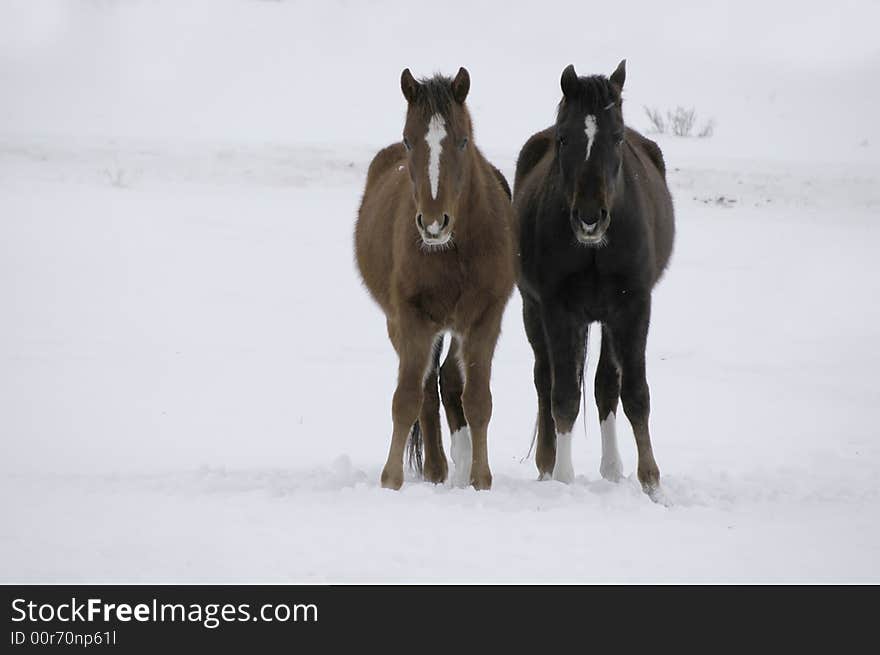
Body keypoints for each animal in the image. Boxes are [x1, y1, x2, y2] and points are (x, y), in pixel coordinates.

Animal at [352, 69, 516, 490]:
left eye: (462, 140)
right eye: (411, 139)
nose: (432, 223)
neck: (454, 250)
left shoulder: (485, 318)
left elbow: (477, 400)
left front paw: (480, 479)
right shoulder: (412, 317)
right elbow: (407, 398)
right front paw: (391, 480)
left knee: (448, 382)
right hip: (403, 324)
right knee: (426, 388)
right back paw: (436, 469)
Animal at [516, 62, 672, 502]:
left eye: (616, 137)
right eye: (563, 137)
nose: (589, 217)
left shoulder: (633, 307)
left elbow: (634, 393)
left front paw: (652, 483)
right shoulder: (557, 309)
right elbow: (565, 395)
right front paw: (563, 477)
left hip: (607, 319)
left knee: (606, 385)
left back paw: (613, 469)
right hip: (534, 311)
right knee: (545, 379)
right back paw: (547, 466)